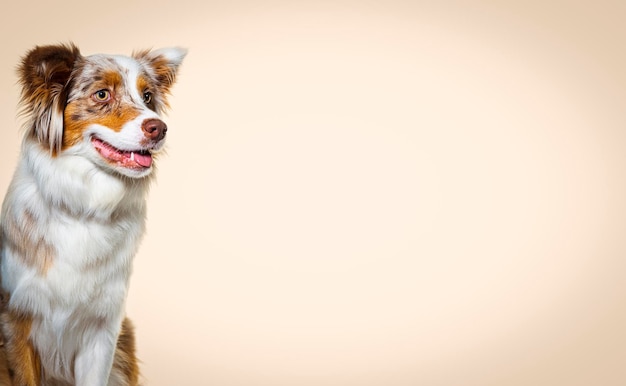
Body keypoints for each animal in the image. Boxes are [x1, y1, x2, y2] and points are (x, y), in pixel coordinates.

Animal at [0, 43, 184, 384]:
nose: (160, 128)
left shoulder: (103, 327)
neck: (85, 206)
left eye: (147, 96)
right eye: (102, 95)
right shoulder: (16, 318)